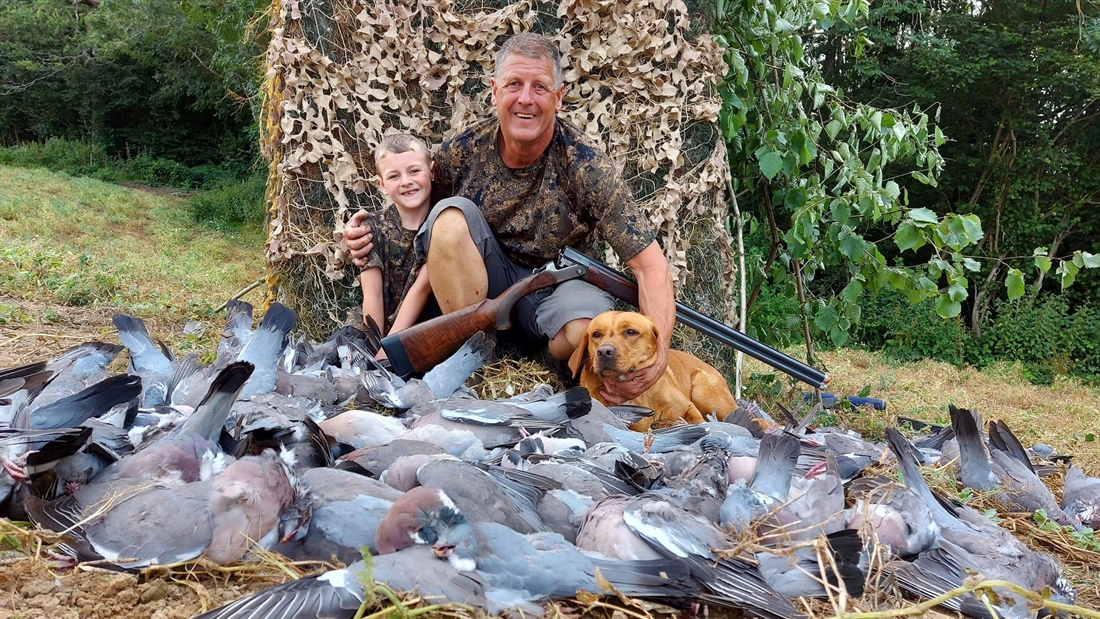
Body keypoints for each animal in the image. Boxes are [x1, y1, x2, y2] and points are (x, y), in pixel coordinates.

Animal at [567, 310, 739, 430]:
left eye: (631, 331)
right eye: (596, 334)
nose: (604, 352)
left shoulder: (687, 408)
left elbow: (698, 421)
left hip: (706, 396)